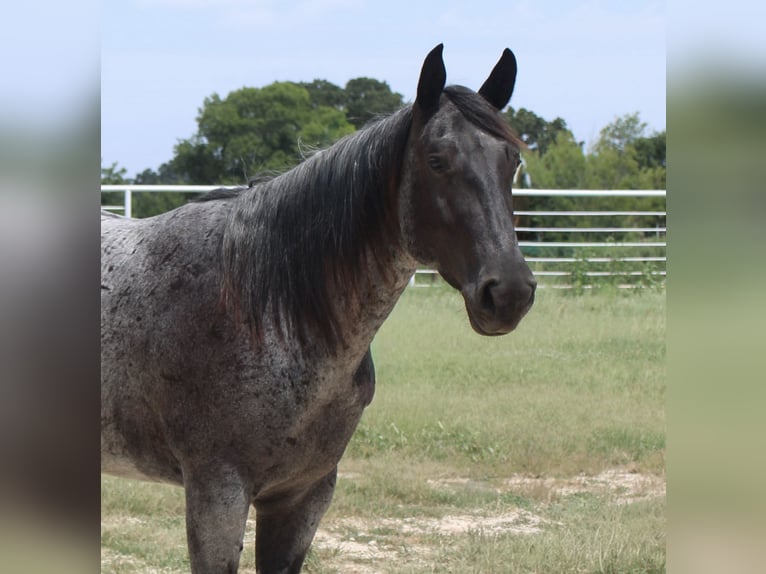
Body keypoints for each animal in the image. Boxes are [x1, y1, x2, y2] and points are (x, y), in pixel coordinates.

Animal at [101, 44, 536, 573]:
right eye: (436, 160)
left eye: (511, 160)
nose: (509, 291)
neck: (263, 312)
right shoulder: (216, 493)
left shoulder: (303, 495)